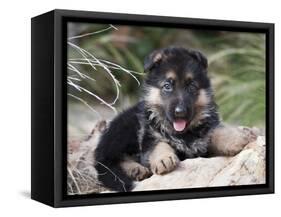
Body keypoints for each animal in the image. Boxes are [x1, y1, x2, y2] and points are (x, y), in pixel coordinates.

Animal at [94, 46, 254, 192]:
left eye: (192, 86)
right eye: (167, 86)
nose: (180, 112)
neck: (184, 134)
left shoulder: (204, 141)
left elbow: (215, 132)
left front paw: (235, 138)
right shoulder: (149, 136)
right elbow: (158, 144)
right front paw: (163, 159)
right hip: (126, 129)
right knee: (111, 160)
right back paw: (135, 169)